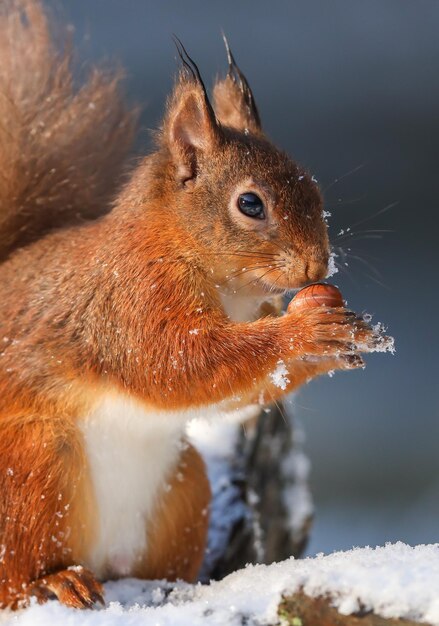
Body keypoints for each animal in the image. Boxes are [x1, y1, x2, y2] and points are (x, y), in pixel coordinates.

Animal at [0, 0, 392, 608]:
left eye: (314, 188)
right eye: (250, 204)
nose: (318, 268)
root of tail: (103, 560)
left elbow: (233, 390)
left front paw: (340, 338)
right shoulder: (133, 296)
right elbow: (175, 364)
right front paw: (304, 330)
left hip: (185, 487)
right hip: (32, 464)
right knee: (16, 577)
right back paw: (56, 580)